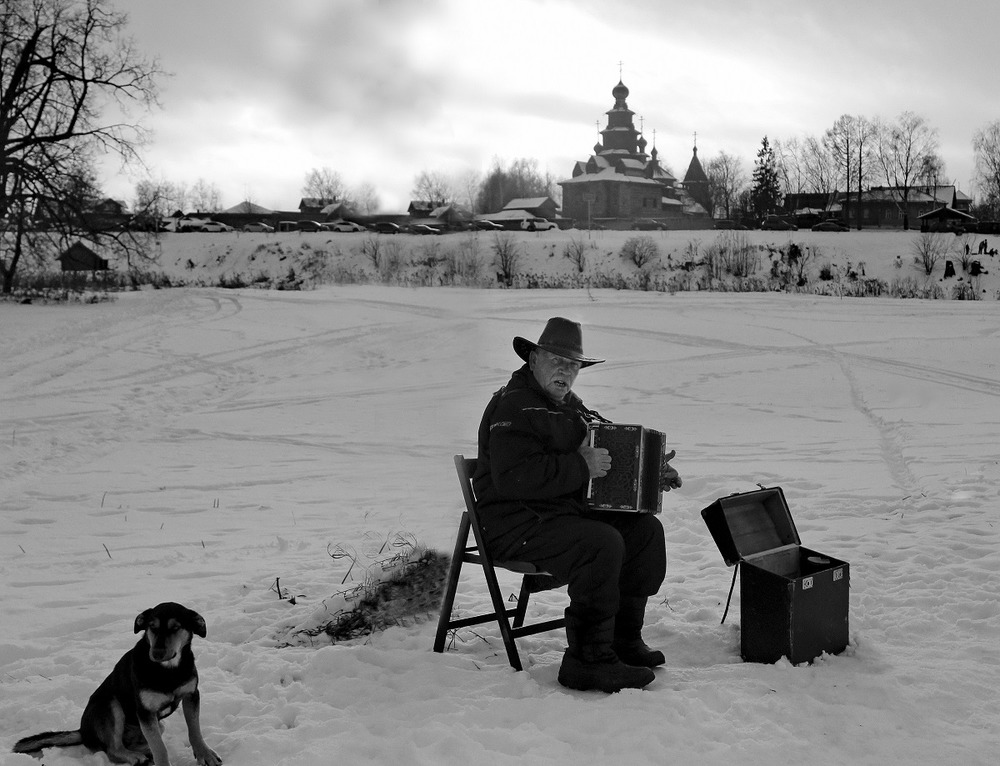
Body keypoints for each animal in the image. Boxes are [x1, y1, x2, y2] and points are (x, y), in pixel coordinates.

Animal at [14, 608, 221, 766]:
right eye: (151, 627)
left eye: (176, 627)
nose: (156, 653)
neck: (169, 671)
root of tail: (83, 731)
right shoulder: (145, 711)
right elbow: (160, 748)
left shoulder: (191, 695)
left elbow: (194, 730)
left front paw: (205, 754)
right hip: (111, 705)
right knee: (113, 749)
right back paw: (136, 757)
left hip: (154, 724)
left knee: (140, 741)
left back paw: (145, 752)